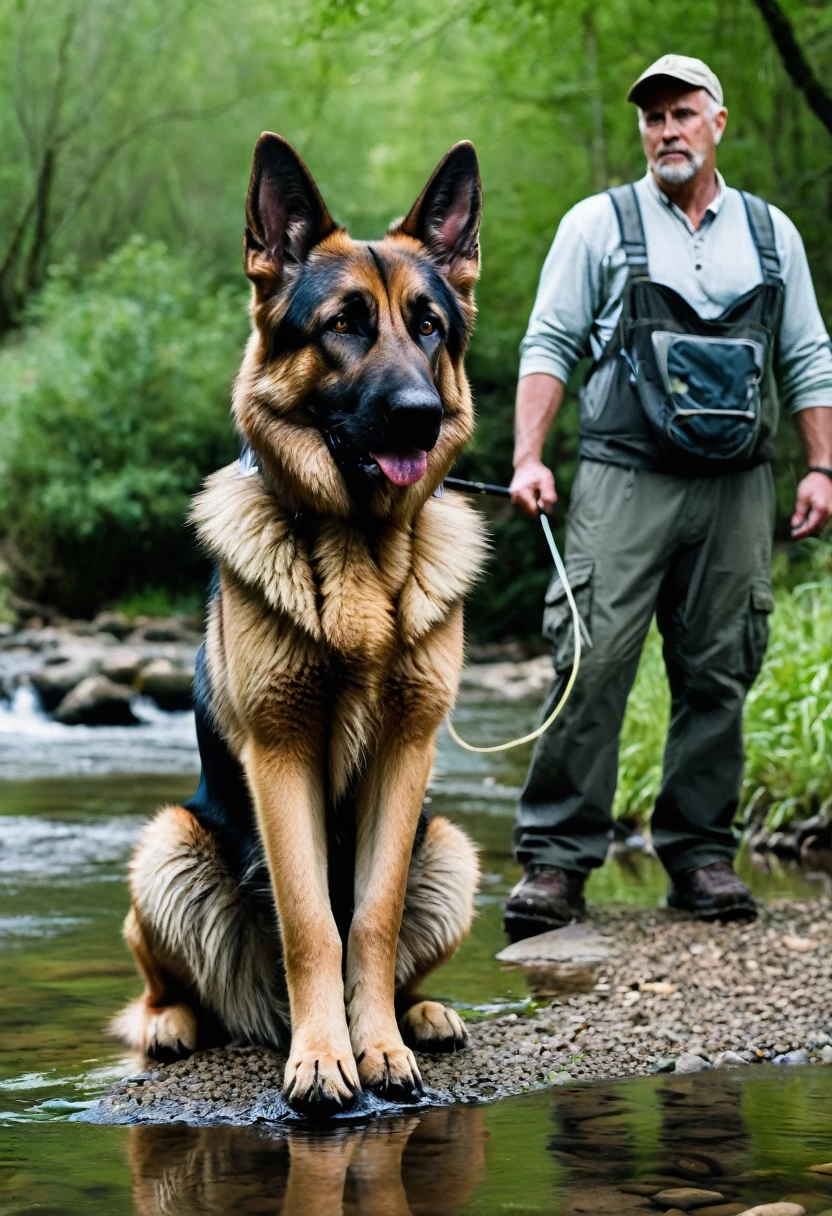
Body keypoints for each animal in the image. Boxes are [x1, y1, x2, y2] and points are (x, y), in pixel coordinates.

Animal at [113, 133, 484, 1113]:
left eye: (428, 327)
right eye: (344, 324)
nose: (419, 419)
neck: (358, 551)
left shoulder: (406, 751)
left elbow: (372, 917)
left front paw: (377, 1045)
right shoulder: (280, 756)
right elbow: (314, 918)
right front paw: (323, 1058)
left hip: (449, 846)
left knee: (405, 946)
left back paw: (420, 1015)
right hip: (167, 846)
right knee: (174, 991)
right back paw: (176, 1026)